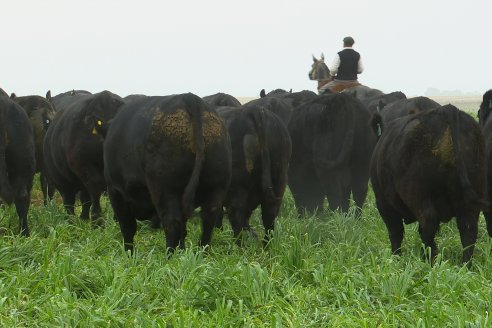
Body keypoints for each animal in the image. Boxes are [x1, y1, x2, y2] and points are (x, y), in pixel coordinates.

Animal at [102, 93, 233, 252]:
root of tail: (189, 97)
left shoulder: (115, 190)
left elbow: (127, 227)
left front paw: (129, 253)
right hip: (216, 189)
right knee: (208, 221)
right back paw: (201, 252)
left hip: (165, 190)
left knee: (172, 223)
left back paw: (169, 255)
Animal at [370, 105, 486, 264]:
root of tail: (447, 110)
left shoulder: (383, 201)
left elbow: (395, 232)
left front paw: (395, 258)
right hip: (471, 194)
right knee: (468, 229)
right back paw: (464, 265)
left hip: (417, 194)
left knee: (427, 225)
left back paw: (430, 262)